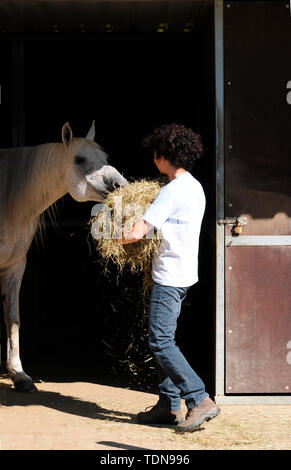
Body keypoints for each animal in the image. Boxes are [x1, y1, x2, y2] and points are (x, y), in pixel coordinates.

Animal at [0, 119, 128, 392]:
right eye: (79, 159)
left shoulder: (15, 265)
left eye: (105, 157)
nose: (120, 185)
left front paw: (19, 374)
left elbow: (12, 319)